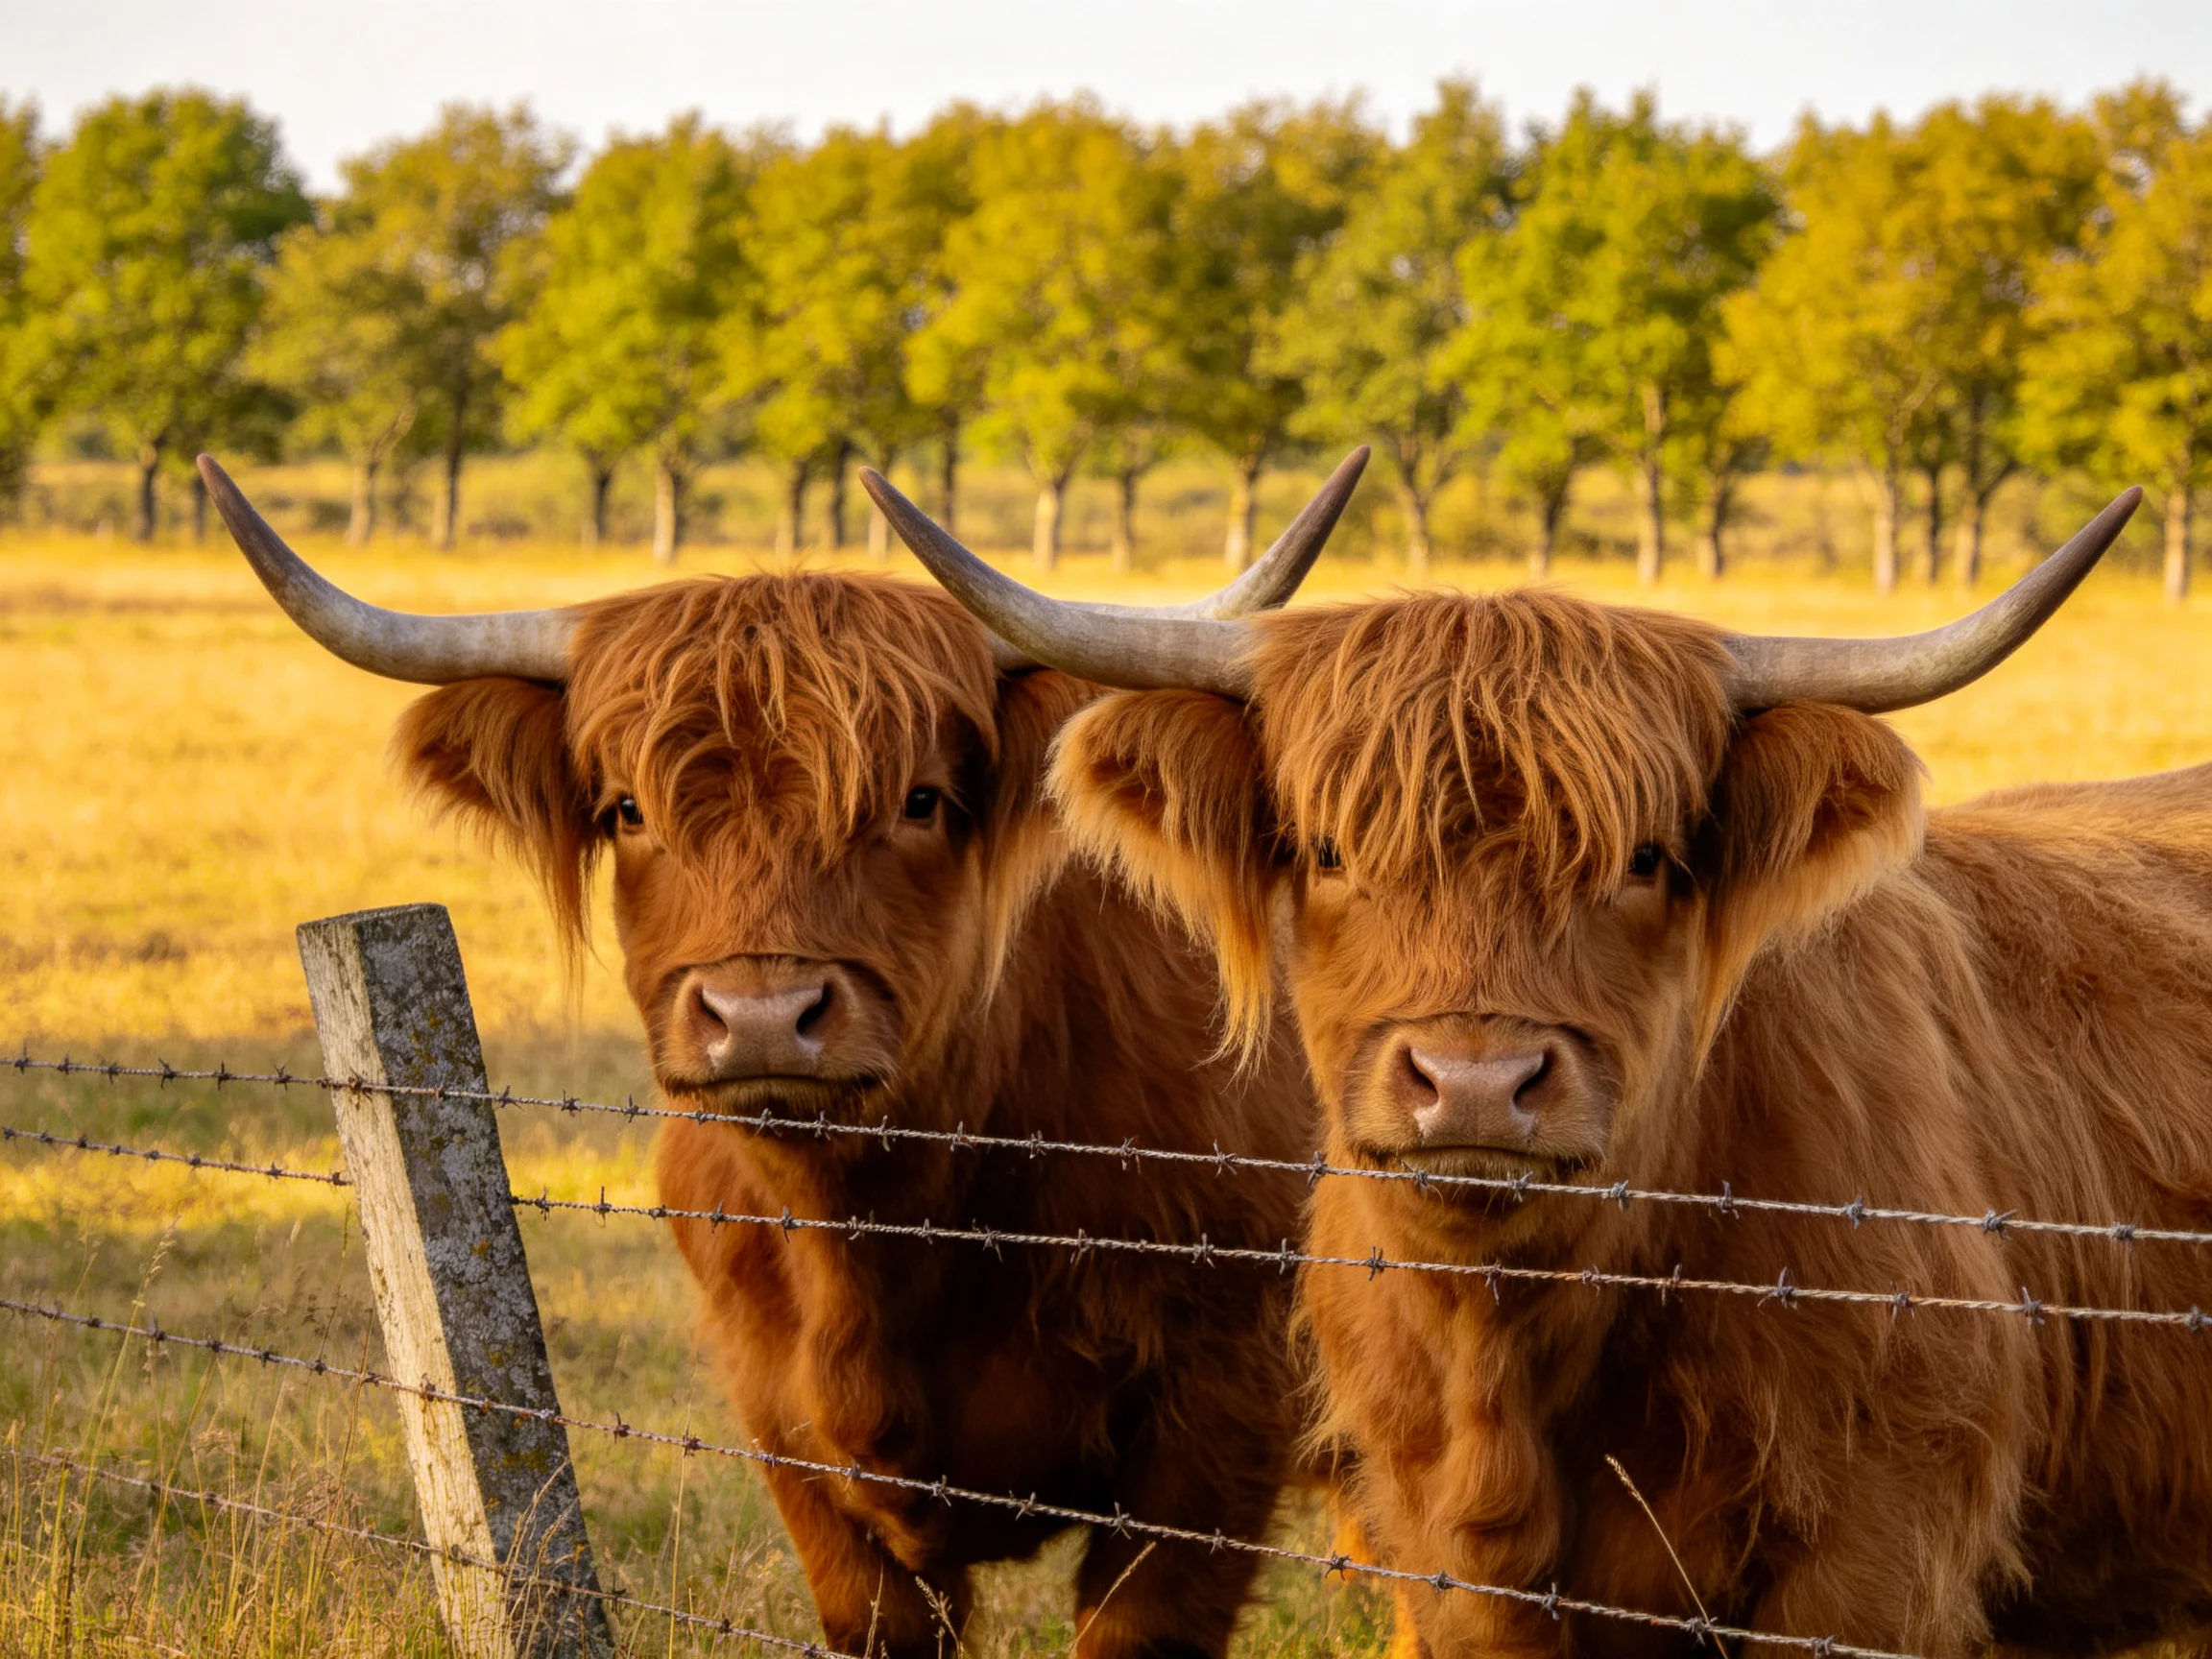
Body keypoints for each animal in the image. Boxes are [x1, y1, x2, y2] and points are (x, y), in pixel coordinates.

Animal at [869, 467, 2212, 1659]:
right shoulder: (1442, 1558)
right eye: (1326, 849)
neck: (1513, 1356)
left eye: (1648, 858)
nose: (1474, 1085)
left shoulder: (1880, 1553)